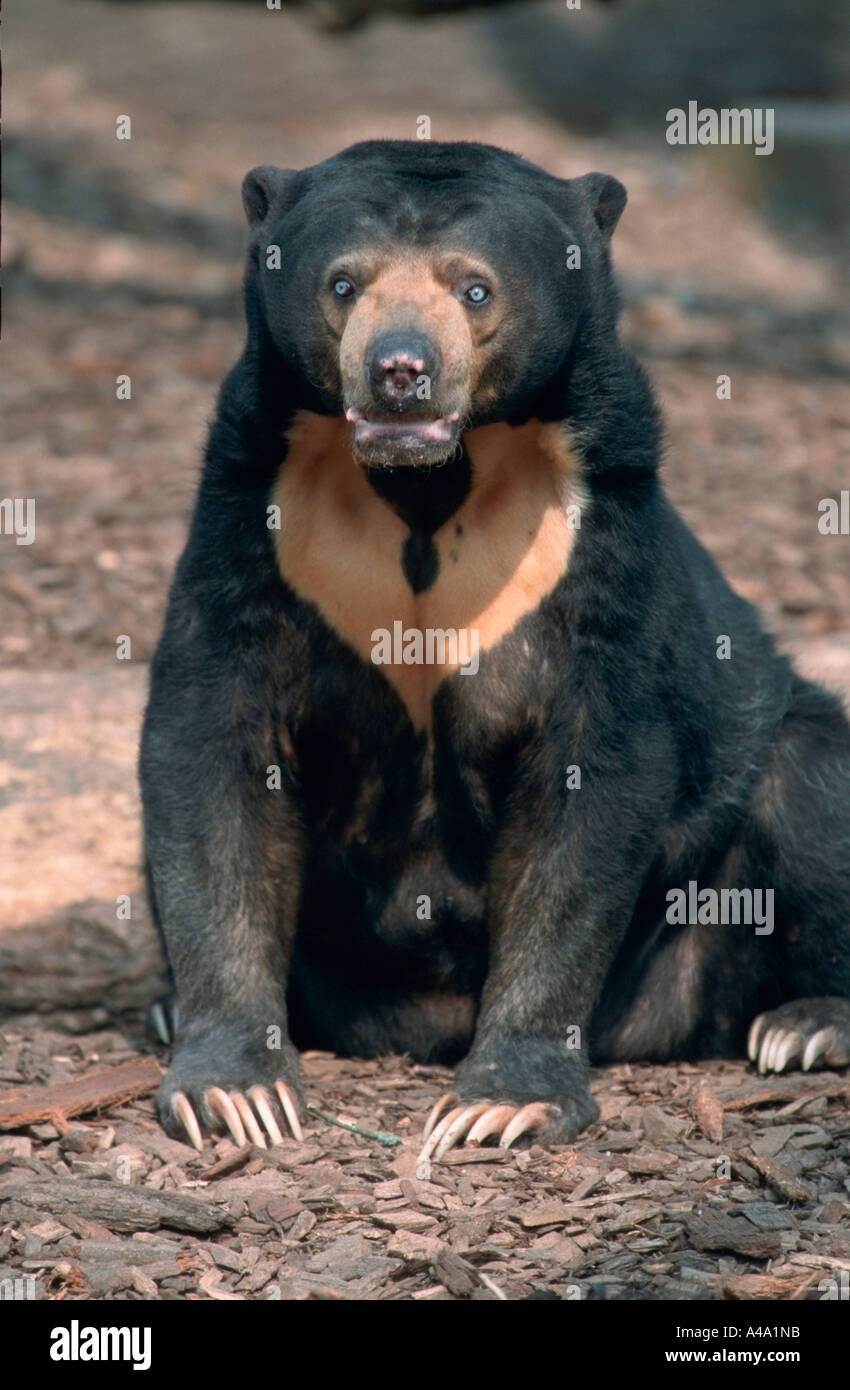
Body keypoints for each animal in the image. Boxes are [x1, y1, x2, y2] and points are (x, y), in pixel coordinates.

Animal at [140, 139, 850, 1158]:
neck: (425, 483)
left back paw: (806, 1025)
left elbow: (591, 784)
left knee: (808, 786)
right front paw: (234, 1092)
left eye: (473, 289)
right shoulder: (251, 518)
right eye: (344, 283)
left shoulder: (594, 547)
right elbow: (214, 753)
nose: (400, 371)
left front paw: (500, 1103)